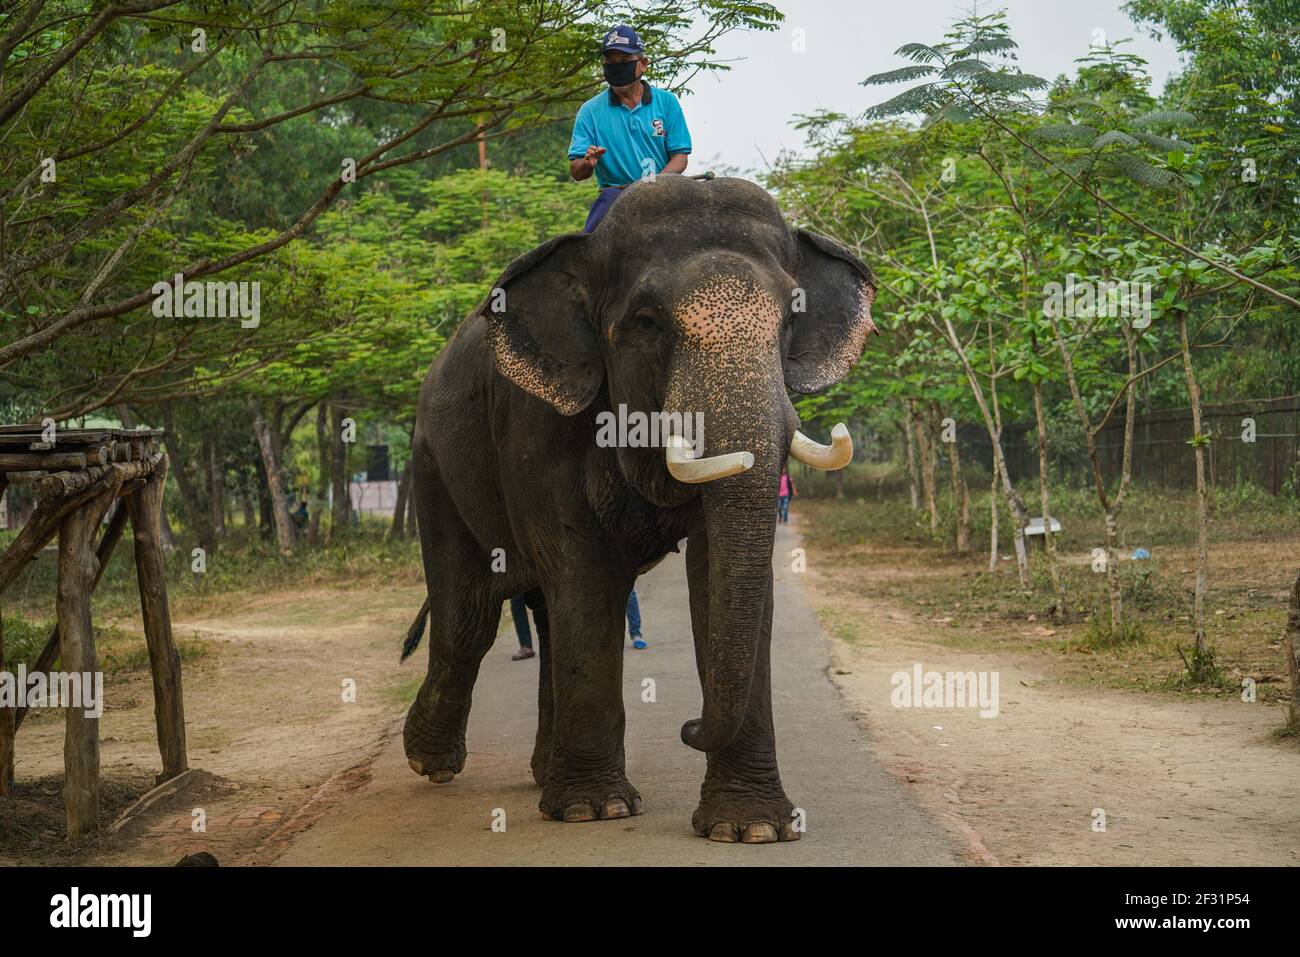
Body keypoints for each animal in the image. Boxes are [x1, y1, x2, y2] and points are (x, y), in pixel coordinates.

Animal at [400, 174, 878, 842]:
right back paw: (433, 763)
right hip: (432, 463)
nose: (688, 727)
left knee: (541, 613)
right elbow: (580, 568)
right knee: (469, 613)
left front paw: (752, 828)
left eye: (790, 321)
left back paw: (540, 774)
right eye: (649, 323)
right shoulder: (536, 419)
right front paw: (593, 810)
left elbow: (711, 574)